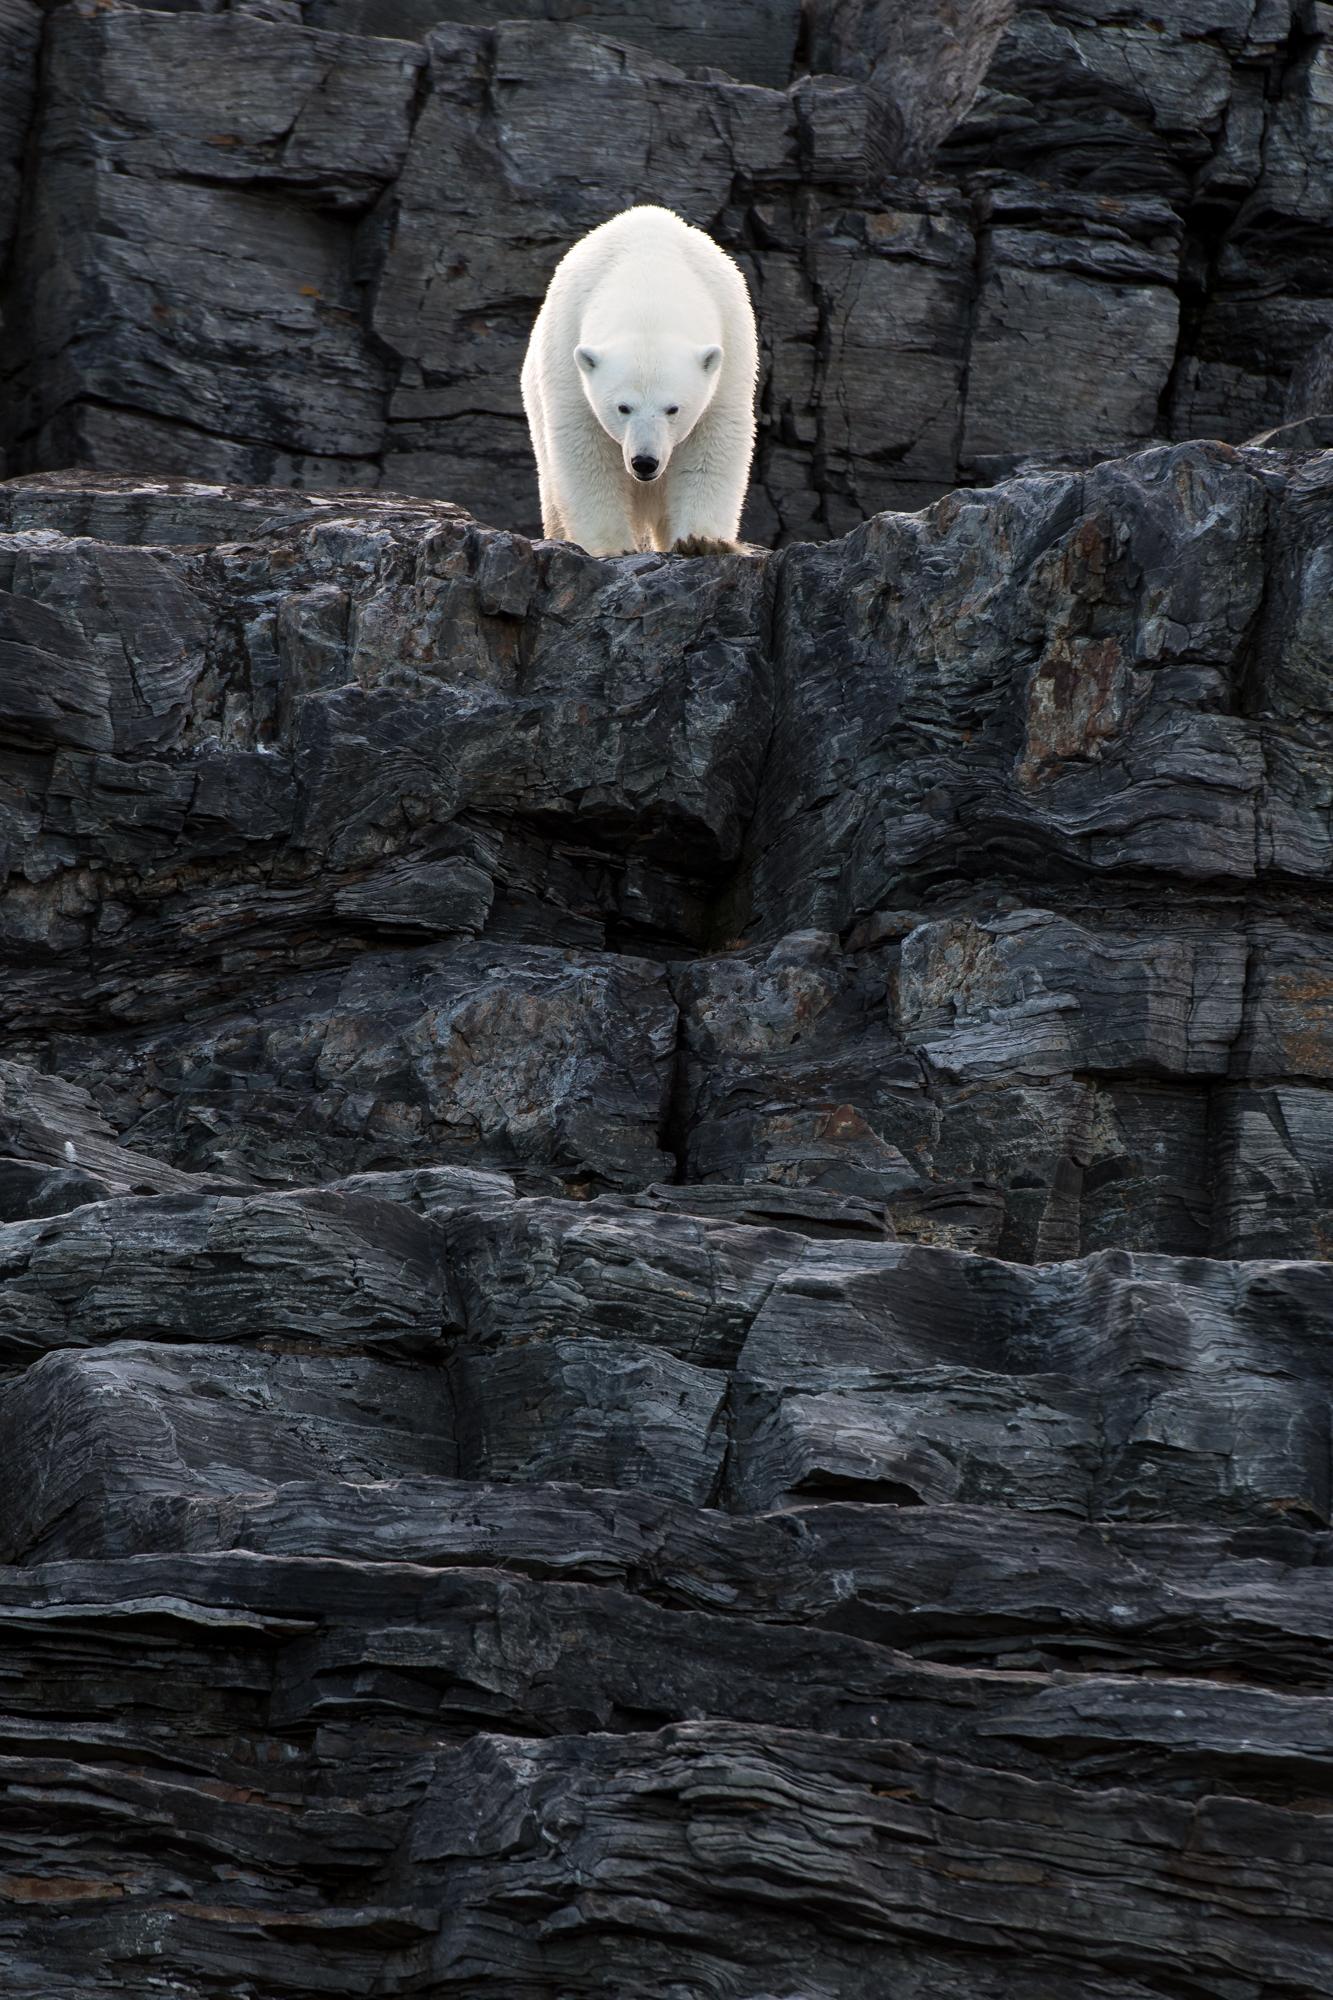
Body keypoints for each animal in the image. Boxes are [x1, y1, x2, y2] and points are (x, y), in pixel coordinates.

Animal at [516, 205, 752, 556]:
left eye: (673, 409)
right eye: (623, 407)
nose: (644, 462)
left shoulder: (731, 343)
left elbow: (714, 437)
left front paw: (702, 541)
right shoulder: (566, 345)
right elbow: (585, 444)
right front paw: (614, 547)